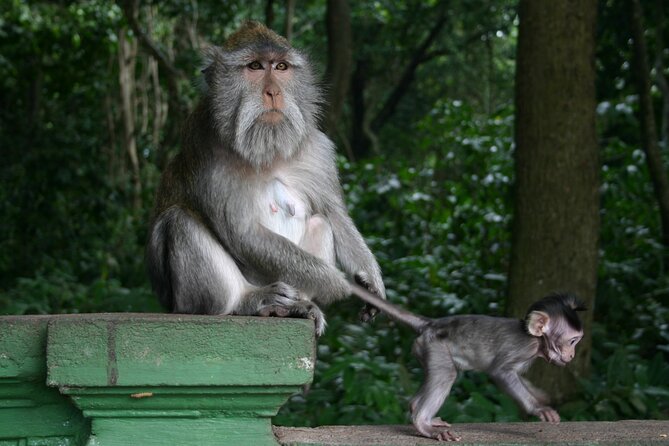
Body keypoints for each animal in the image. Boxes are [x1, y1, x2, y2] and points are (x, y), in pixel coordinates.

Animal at [146, 21, 385, 336]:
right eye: (255, 66)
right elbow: (243, 233)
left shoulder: (317, 148)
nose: (273, 92)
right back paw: (248, 302)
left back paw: (296, 307)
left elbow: (334, 214)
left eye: (281, 66)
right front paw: (338, 284)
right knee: (179, 221)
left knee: (321, 222)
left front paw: (370, 279)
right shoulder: (207, 150)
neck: (268, 151)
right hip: (188, 300)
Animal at [349, 283, 586, 442]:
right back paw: (423, 423)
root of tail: (431, 324)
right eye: (572, 341)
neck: (536, 341)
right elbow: (501, 372)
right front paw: (538, 408)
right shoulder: (523, 348)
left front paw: (540, 396)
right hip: (435, 346)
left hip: (424, 348)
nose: (572, 355)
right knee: (447, 374)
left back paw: (419, 411)